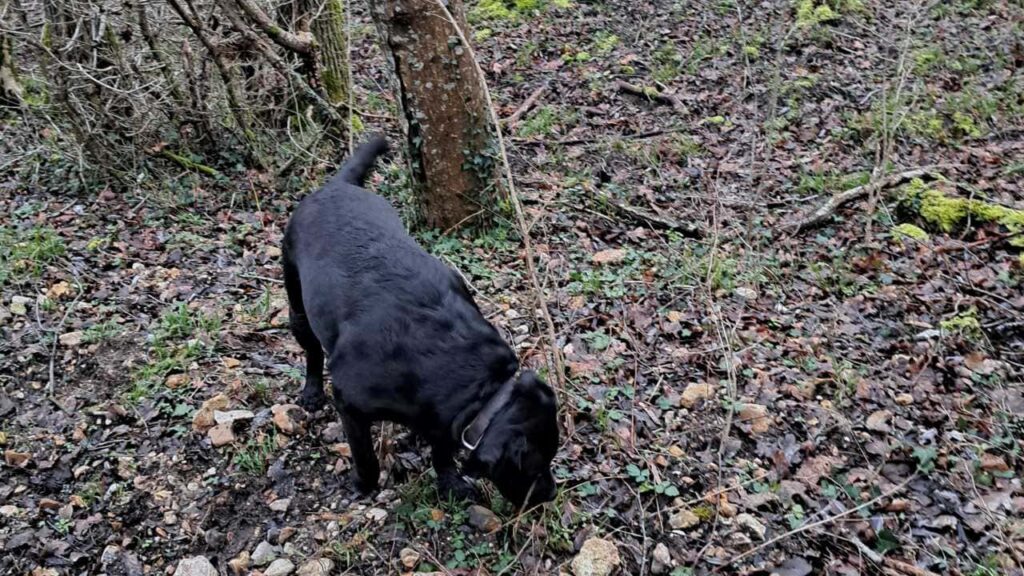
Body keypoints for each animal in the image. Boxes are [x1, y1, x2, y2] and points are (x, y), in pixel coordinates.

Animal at [282, 133, 561, 502]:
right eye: (533, 468)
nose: (551, 494)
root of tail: (337, 186)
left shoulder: (444, 417)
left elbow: (441, 450)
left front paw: (450, 483)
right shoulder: (350, 403)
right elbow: (366, 458)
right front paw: (364, 485)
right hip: (297, 306)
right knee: (312, 351)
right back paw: (312, 392)